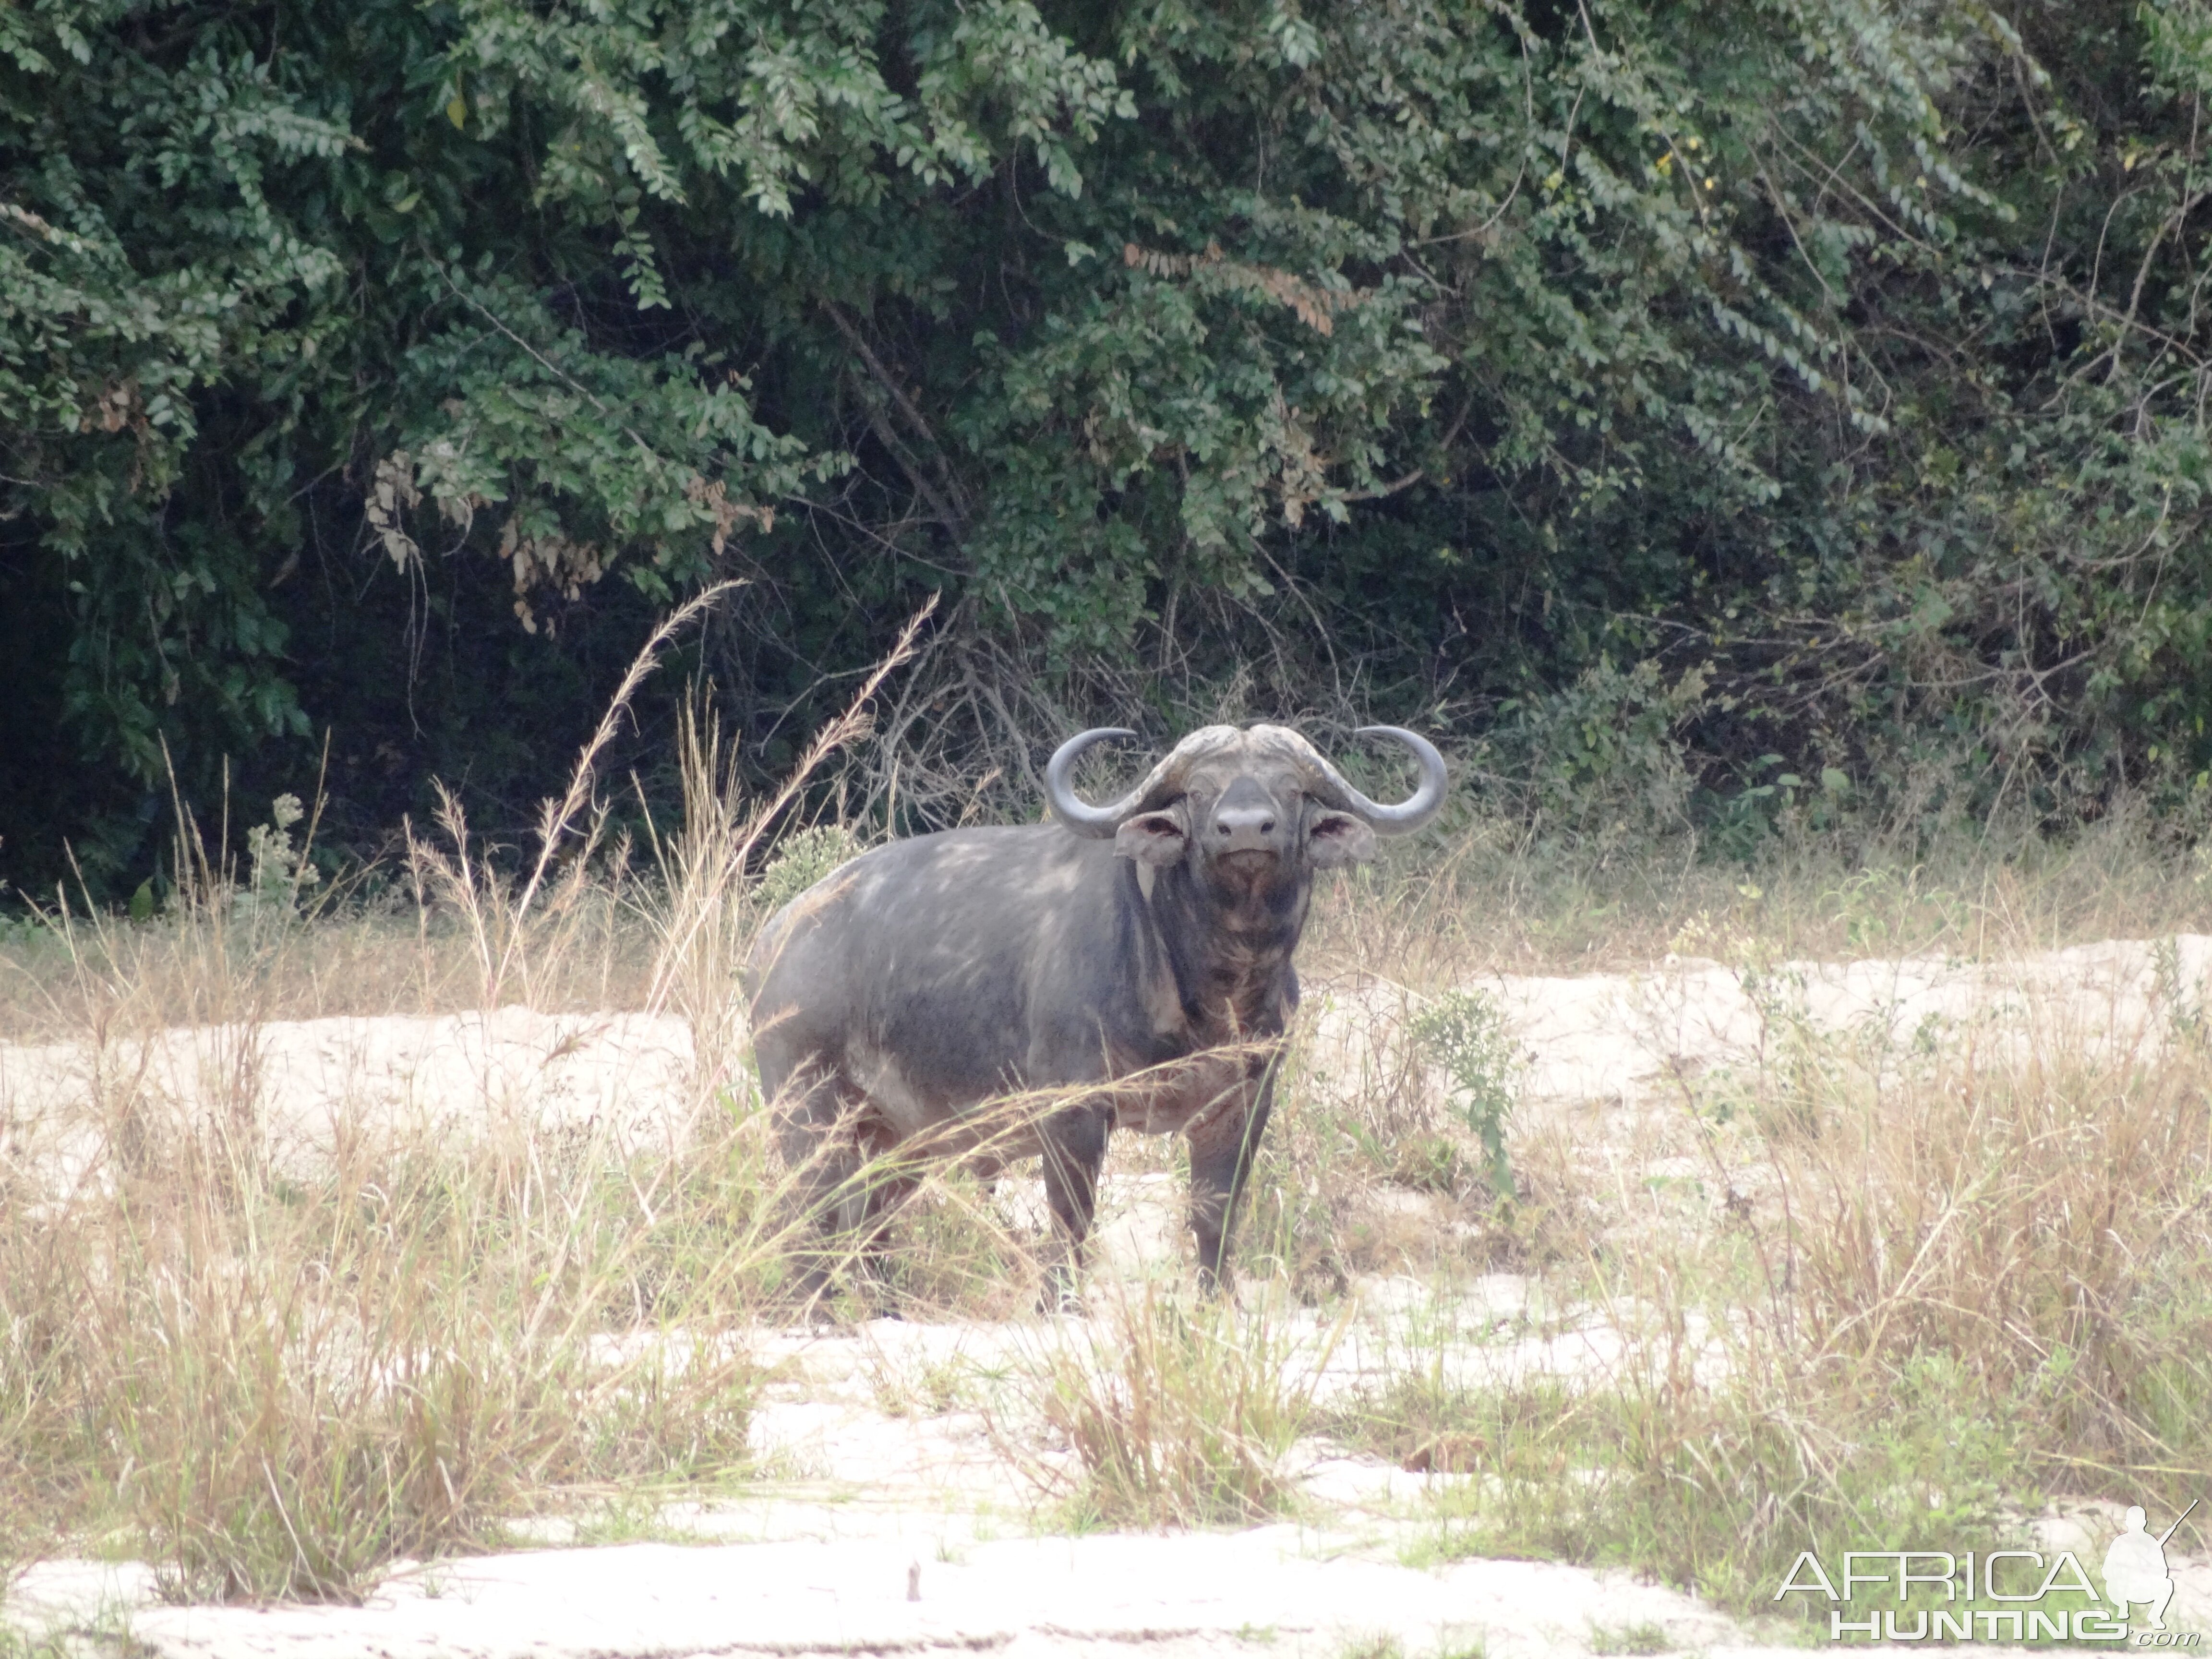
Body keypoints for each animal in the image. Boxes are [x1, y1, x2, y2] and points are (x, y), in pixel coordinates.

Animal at [743, 725, 1442, 1309]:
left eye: (1291, 789)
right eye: (1198, 792)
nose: (1245, 829)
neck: (1212, 982)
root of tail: (775, 939)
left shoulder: (1243, 1103)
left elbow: (1215, 1212)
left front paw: (1219, 1303)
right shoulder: (1072, 1105)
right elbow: (1071, 1212)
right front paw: (1060, 1303)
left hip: (895, 1138)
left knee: (867, 1221)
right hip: (808, 1110)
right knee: (811, 1208)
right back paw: (816, 1306)